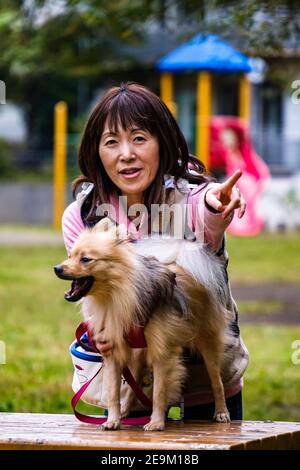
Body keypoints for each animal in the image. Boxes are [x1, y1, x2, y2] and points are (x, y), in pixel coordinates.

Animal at [54, 217, 232, 430]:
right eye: (70, 256)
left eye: (85, 259)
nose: (57, 268)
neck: (116, 294)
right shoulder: (113, 351)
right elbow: (113, 392)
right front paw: (113, 420)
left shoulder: (161, 352)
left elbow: (159, 392)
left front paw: (156, 423)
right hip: (138, 354)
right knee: (133, 387)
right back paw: (125, 412)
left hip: (207, 343)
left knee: (217, 381)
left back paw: (221, 412)